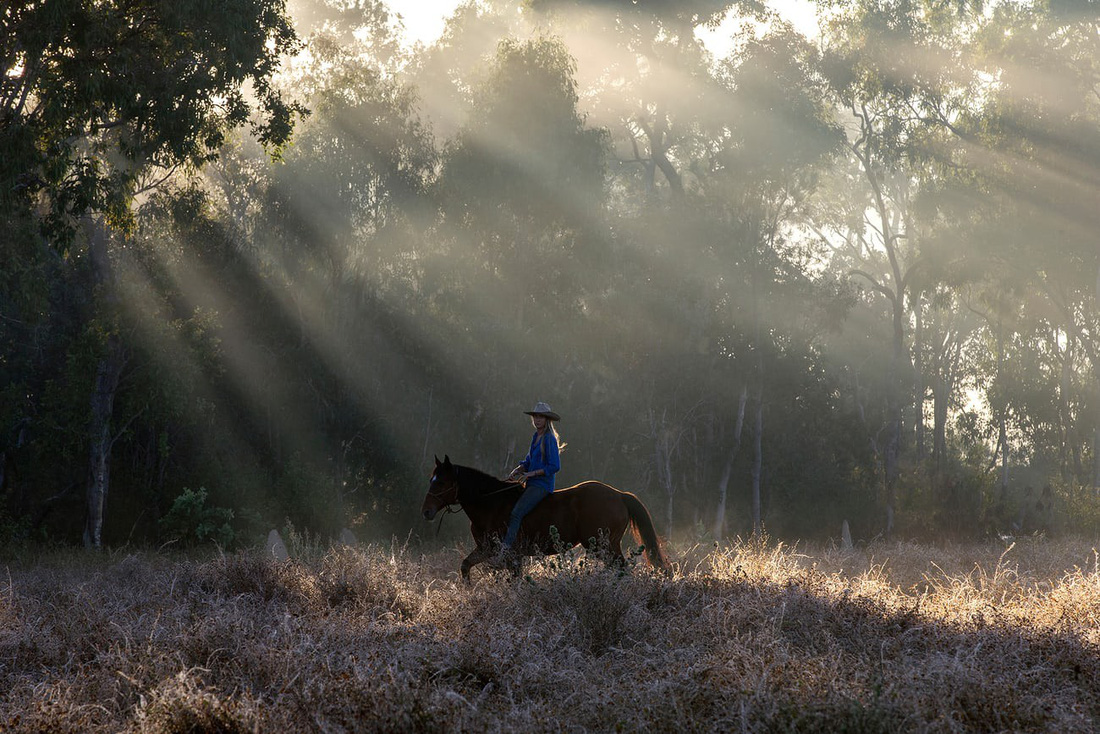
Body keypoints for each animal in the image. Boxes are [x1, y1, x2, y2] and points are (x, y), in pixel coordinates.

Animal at [418, 455, 660, 581]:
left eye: (441, 482)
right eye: (431, 480)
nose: (426, 511)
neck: (491, 503)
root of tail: (619, 495)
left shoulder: (512, 556)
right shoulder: (486, 549)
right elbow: (465, 565)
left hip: (605, 546)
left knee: (622, 569)